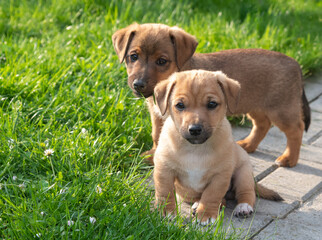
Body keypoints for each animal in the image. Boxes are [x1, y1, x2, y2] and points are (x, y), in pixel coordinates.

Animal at [112, 23, 310, 168]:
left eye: (161, 61)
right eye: (133, 56)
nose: (138, 85)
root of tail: (296, 65)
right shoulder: (157, 115)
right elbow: (157, 135)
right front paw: (153, 154)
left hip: (281, 110)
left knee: (296, 129)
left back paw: (289, 159)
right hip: (255, 106)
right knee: (263, 125)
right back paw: (248, 144)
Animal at [153, 69, 282, 225]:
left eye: (212, 104)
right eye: (180, 105)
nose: (195, 129)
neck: (195, 149)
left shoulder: (220, 175)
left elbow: (211, 195)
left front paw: (206, 215)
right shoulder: (164, 169)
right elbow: (164, 192)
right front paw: (166, 212)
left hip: (243, 174)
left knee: (246, 193)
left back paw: (243, 207)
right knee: (219, 200)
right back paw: (197, 205)